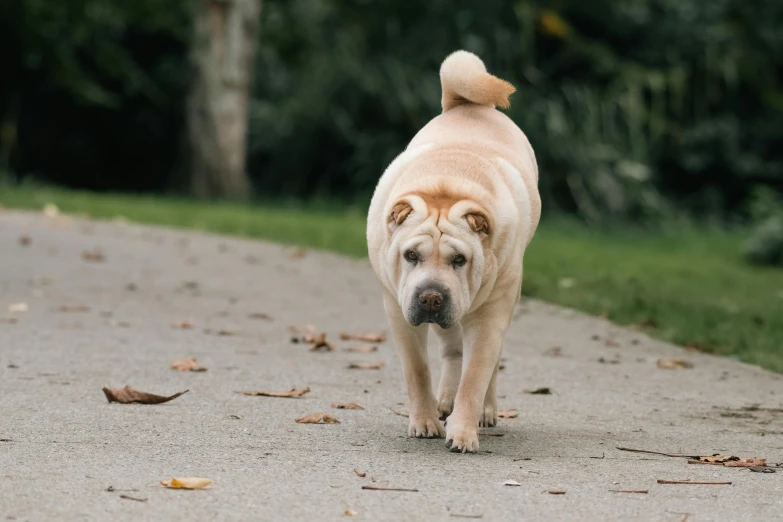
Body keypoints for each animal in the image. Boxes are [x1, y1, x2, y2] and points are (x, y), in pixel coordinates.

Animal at [366, 49, 540, 450]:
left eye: (460, 260)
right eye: (410, 256)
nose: (431, 296)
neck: (447, 184)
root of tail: (466, 105)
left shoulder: (491, 315)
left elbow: (476, 375)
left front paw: (463, 431)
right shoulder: (397, 309)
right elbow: (417, 370)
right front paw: (425, 421)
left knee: (486, 364)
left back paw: (484, 412)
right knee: (451, 350)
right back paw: (443, 401)